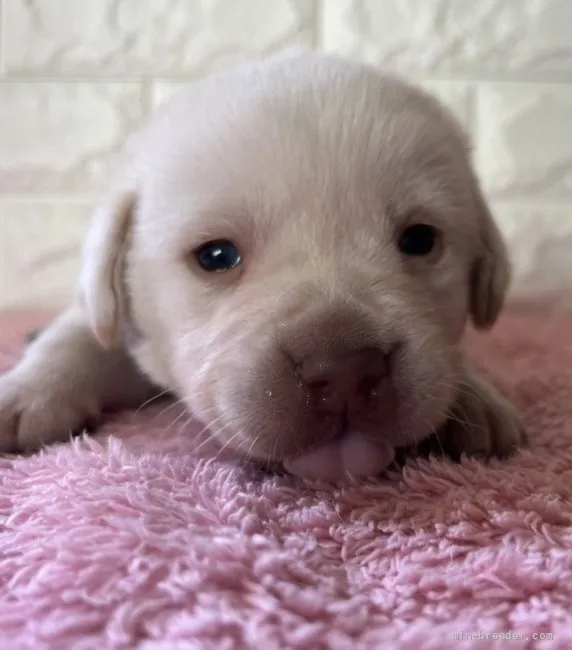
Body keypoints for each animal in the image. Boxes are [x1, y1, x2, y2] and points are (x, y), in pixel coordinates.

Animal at [0, 53, 524, 478]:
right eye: (215, 256)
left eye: (419, 240)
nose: (345, 372)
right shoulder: (116, 317)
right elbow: (78, 337)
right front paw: (26, 392)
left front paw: (474, 398)